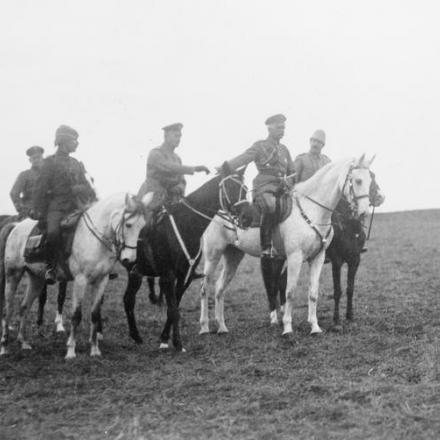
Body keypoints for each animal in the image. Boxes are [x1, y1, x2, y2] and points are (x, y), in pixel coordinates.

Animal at [0, 192, 150, 358]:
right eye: (128, 224)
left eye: (142, 226)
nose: (130, 259)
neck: (93, 239)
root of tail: (15, 226)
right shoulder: (80, 281)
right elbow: (76, 315)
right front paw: (71, 351)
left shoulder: (101, 281)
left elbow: (95, 314)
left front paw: (95, 350)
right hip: (13, 274)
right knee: (8, 310)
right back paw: (4, 347)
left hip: (36, 279)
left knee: (24, 307)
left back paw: (24, 342)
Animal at [199, 156, 374, 336]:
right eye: (358, 180)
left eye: (370, 180)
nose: (363, 213)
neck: (313, 210)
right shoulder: (296, 257)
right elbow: (290, 292)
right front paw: (288, 328)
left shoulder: (318, 257)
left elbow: (313, 293)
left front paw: (315, 327)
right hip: (213, 256)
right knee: (205, 288)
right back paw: (205, 327)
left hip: (233, 256)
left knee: (220, 288)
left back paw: (222, 326)